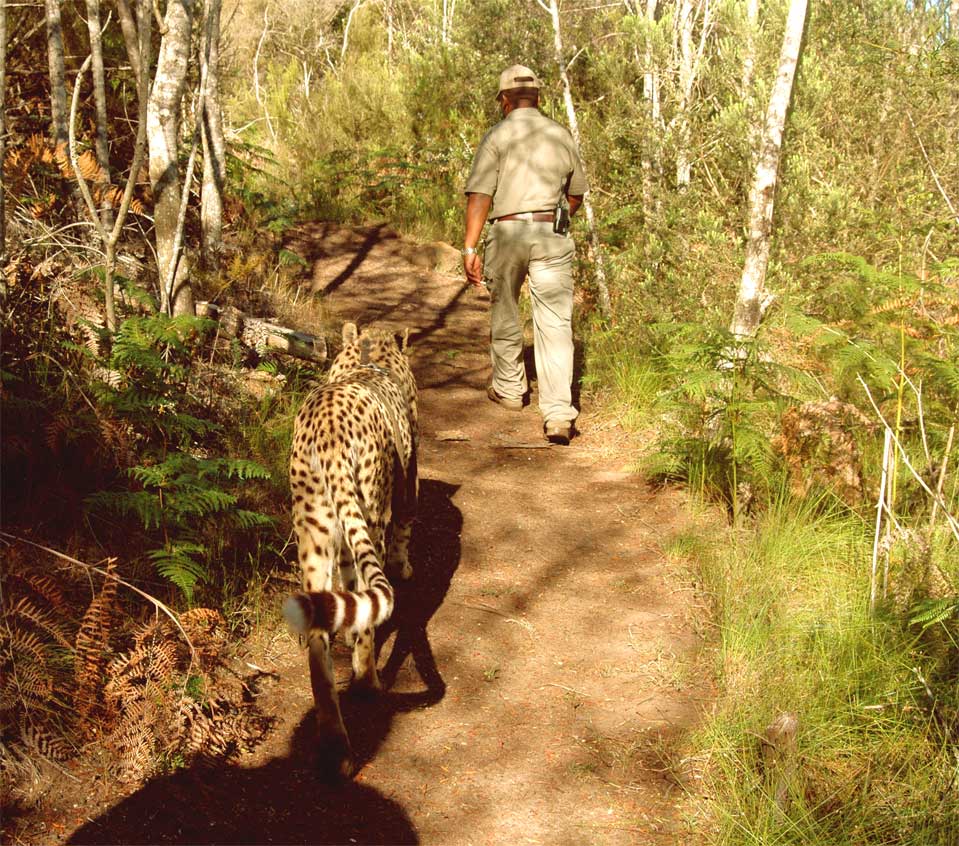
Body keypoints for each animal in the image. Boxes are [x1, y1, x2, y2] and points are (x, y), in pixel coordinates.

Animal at [284, 322, 420, 780]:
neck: (368, 357)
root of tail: (327, 428)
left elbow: (343, 583)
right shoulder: (407, 486)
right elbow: (404, 531)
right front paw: (405, 567)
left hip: (313, 531)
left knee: (318, 648)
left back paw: (334, 746)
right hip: (370, 512)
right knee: (369, 600)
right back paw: (367, 680)